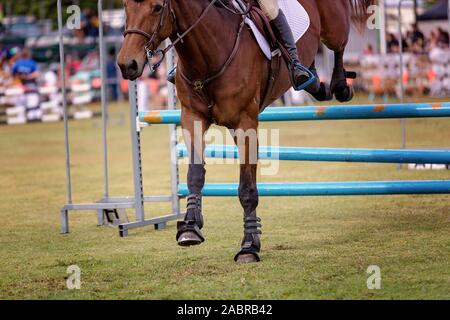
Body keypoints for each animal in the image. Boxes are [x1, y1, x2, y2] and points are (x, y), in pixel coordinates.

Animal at [118, 0, 374, 262]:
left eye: (158, 8)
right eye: (126, 6)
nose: (127, 64)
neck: (209, 57)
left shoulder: (245, 124)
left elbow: (247, 188)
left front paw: (249, 246)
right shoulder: (192, 117)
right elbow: (195, 174)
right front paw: (190, 226)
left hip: (334, 28)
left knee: (339, 45)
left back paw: (340, 85)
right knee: (311, 62)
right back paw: (312, 80)